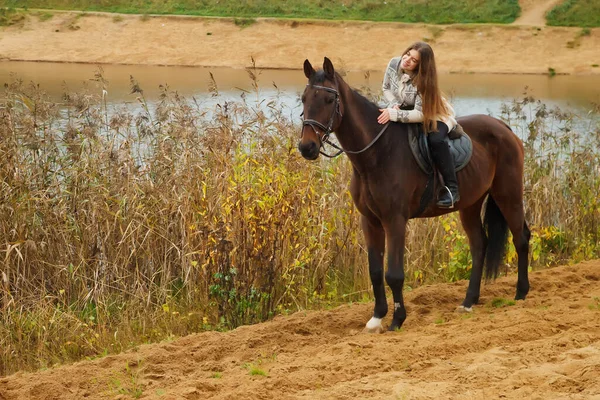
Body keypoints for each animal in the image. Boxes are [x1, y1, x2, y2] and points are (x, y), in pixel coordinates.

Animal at [300, 57, 528, 332]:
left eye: (328, 100)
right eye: (304, 98)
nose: (307, 147)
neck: (377, 153)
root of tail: (504, 128)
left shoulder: (395, 220)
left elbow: (394, 274)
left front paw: (397, 319)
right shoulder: (370, 221)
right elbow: (375, 271)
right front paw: (377, 317)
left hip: (508, 195)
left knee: (521, 238)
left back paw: (521, 293)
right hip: (471, 204)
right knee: (479, 245)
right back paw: (468, 301)